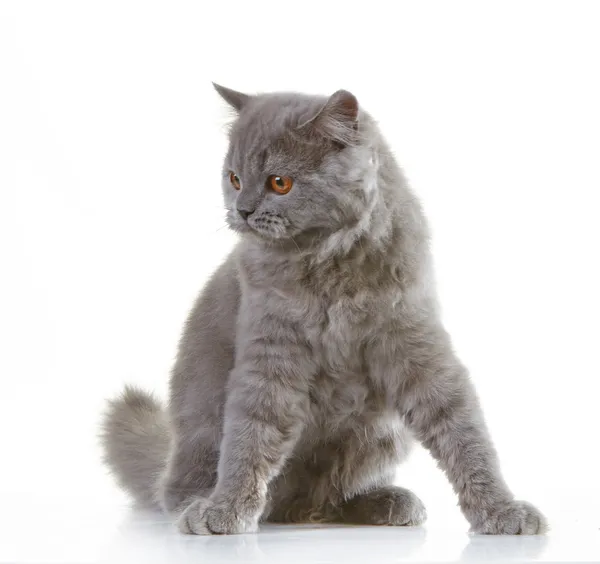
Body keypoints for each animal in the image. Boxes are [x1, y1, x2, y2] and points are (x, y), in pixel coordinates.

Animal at [99, 82, 548, 532]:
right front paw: (225, 509)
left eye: (279, 182)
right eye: (234, 178)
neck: (328, 263)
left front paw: (502, 510)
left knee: (333, 494)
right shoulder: (270, 353)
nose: (242, 210)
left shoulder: (414, 340)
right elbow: (250, 436)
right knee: (177, 489)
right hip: (201, 428)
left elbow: (461, 427)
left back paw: (387, 502)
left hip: (384, 434)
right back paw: (200, 506)